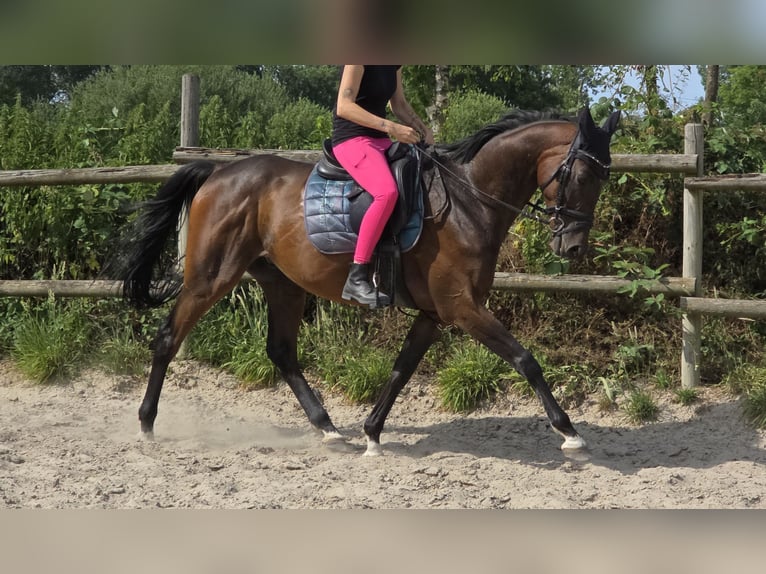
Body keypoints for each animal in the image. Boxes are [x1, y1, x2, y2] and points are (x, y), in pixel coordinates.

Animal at [116, 107, 620, 456]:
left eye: (604, 176)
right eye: (580, 174)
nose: (573, 247)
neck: (469, 199)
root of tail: (218, 171)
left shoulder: (435, 313)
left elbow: (401, 371)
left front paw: (373, 434)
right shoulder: (462, 306)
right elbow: (525, 359)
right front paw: (569, 432)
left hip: (284, 284)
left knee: (281, 353)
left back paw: (328, 429)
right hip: (211, 277)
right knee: (168, 338)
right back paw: (146, 423)